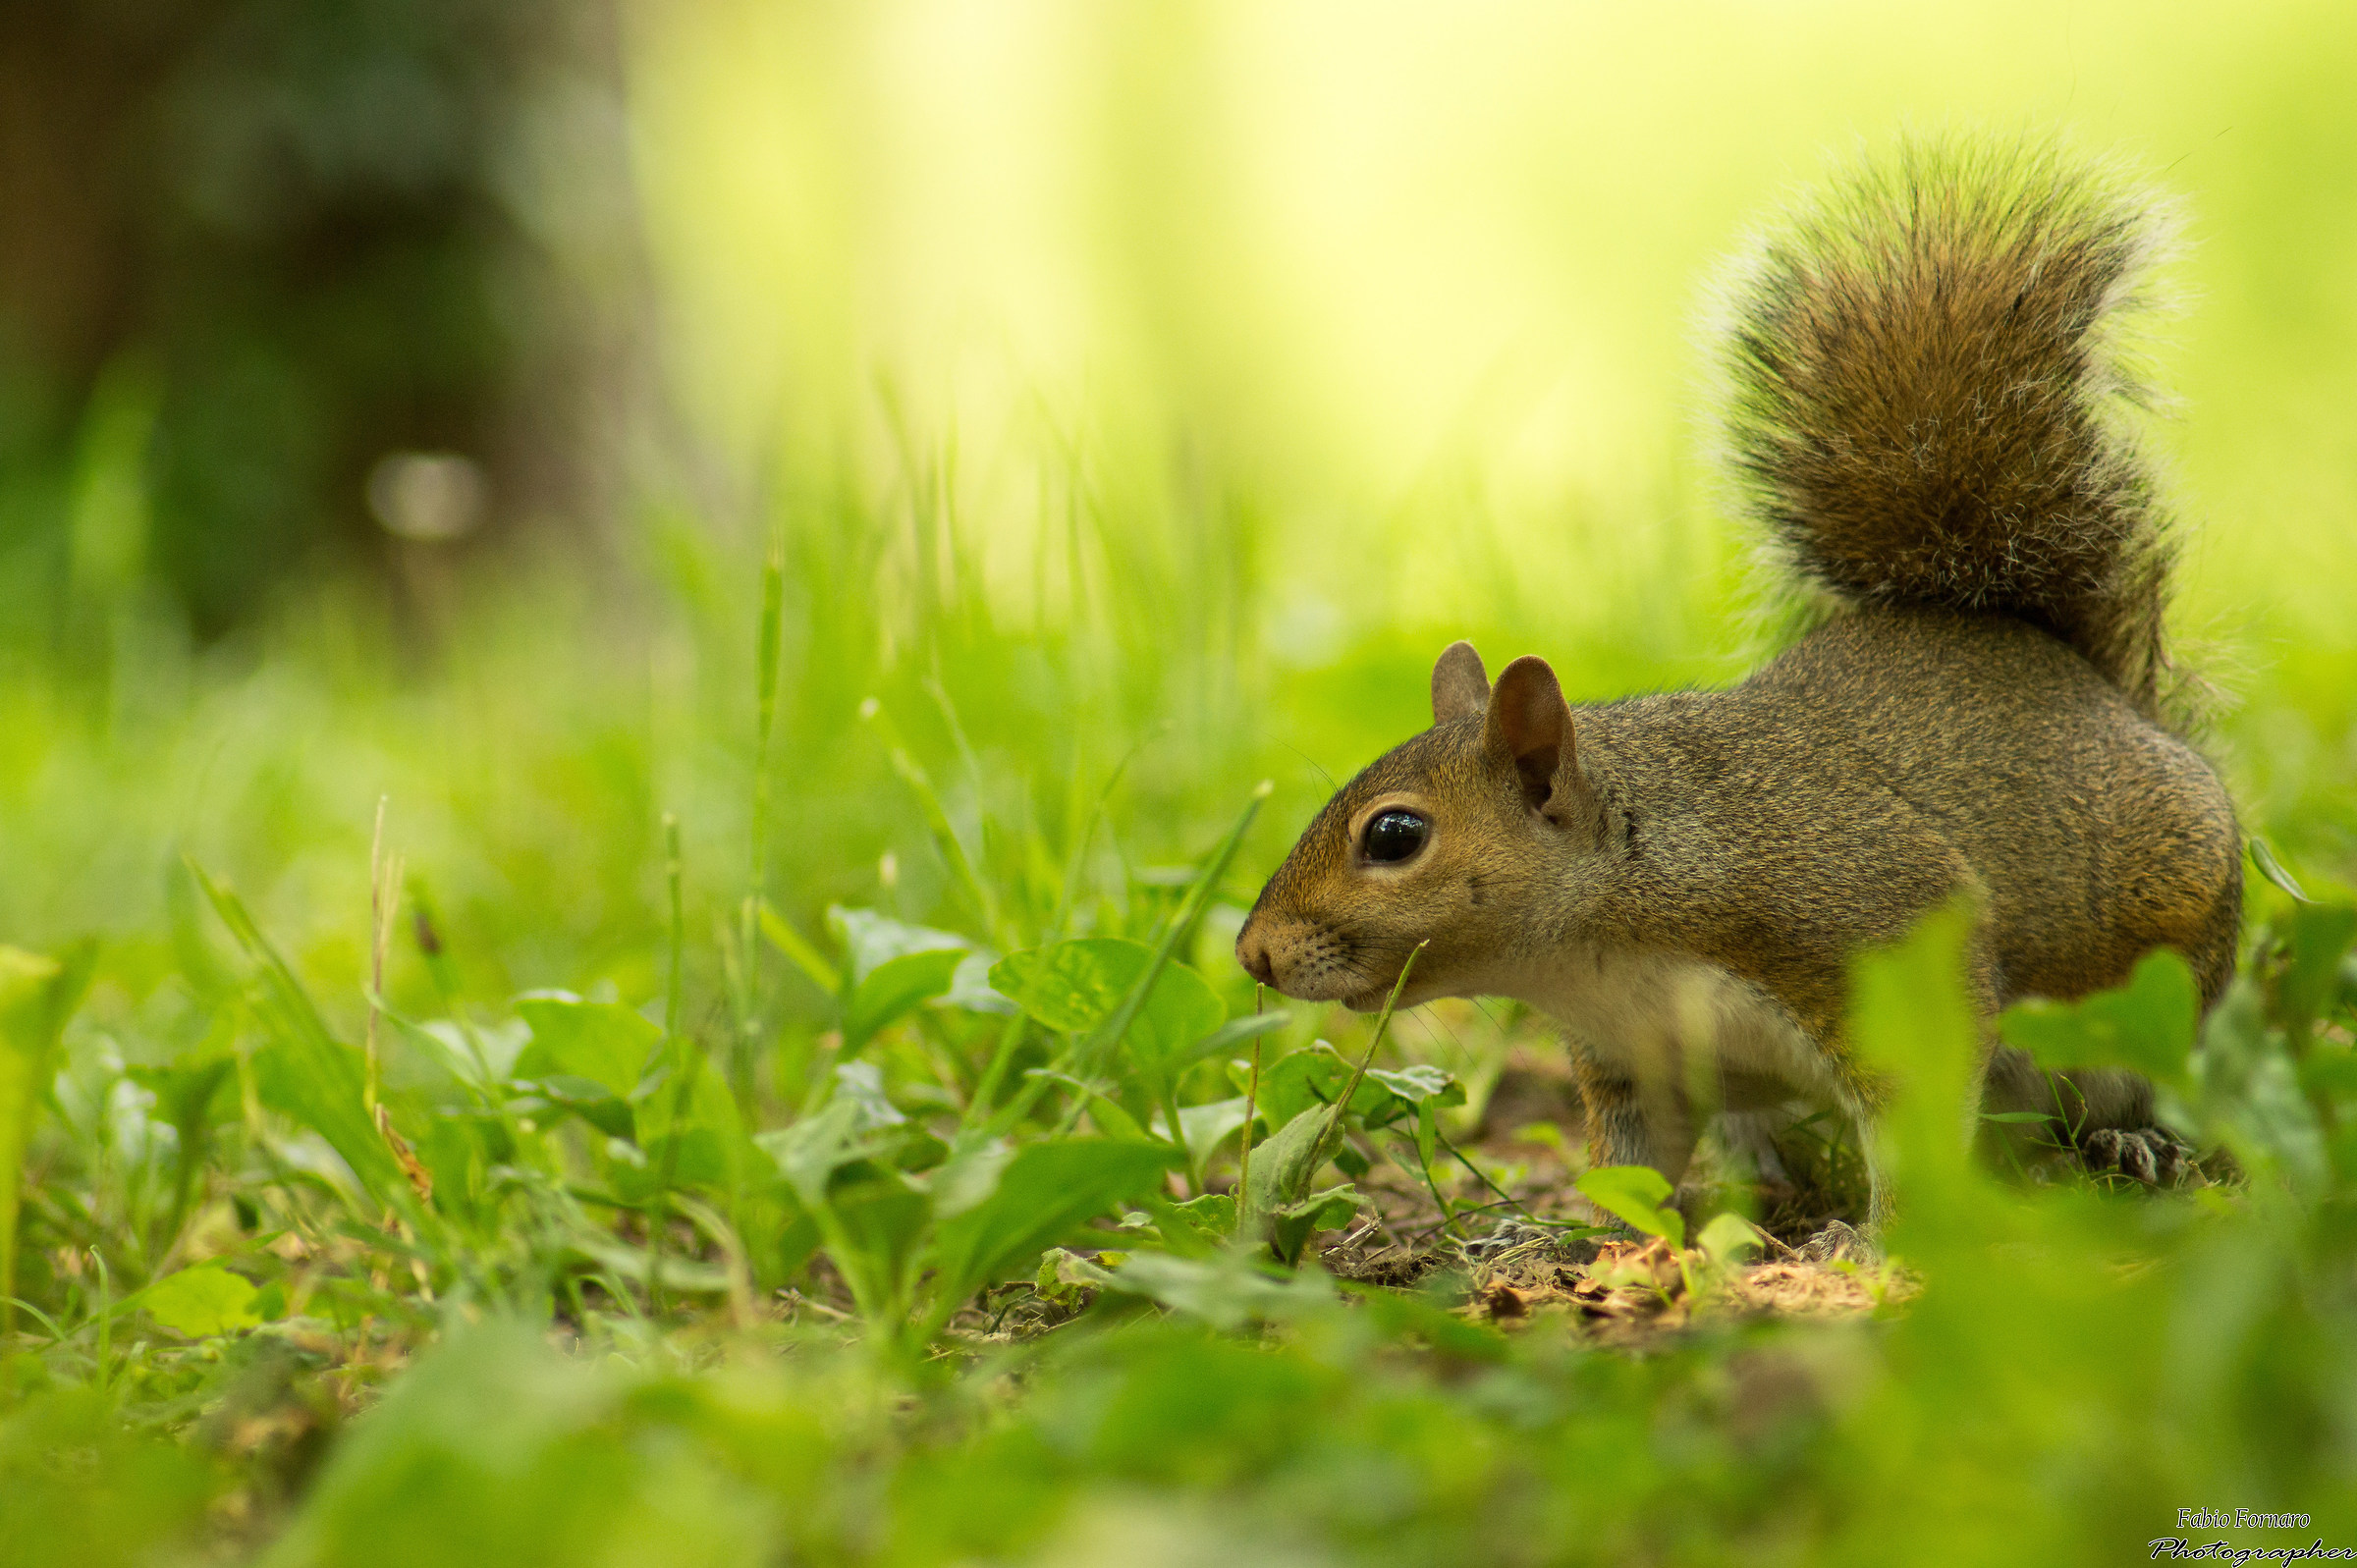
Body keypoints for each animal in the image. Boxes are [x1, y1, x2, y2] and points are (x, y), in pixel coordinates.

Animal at [1234, 137, 2242, 1228]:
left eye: (1394, 836)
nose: (1253, 954)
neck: (1598, 933)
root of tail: (2099, 688)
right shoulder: (1641, 1057)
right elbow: (1632, 1166)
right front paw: (1576, 1230)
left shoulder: (1884, 939)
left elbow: (1915, 1119)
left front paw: (1881, 1243)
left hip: (2161, 980)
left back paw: (2133, 1141)